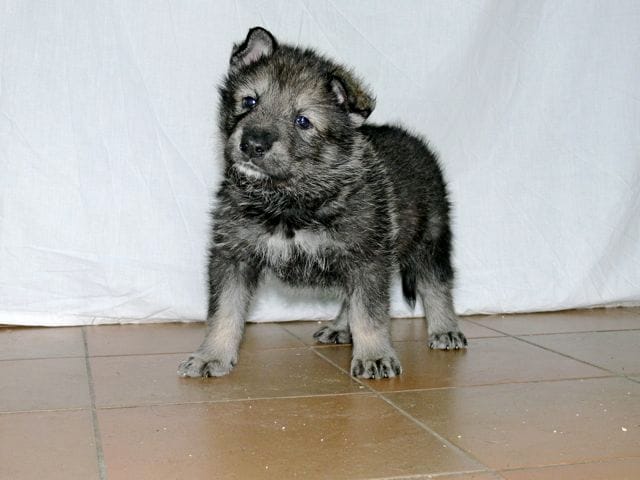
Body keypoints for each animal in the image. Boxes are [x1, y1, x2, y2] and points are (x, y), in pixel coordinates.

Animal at [178, 27, 467, 380]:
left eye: (303, 121)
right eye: (249, 101)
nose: (253, 144)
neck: (289, 200)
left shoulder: (366, 259)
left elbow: (369, 312)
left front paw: (374, 356)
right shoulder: (233, 256)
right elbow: (224, 312)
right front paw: (212, 355)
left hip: (430, 240)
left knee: (436, 284)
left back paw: (445, 329)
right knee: (350, 299)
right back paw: (340, 327)